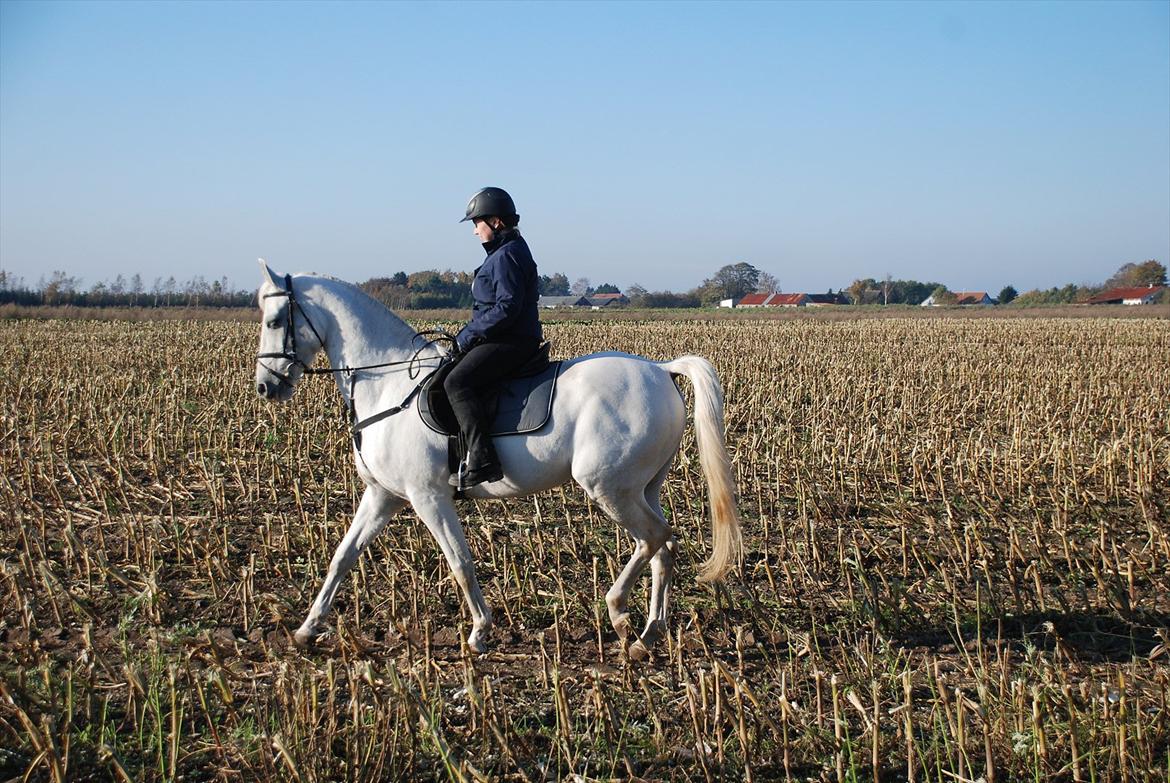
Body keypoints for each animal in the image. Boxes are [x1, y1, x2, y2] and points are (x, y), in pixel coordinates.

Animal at [253, 262, 739, 655]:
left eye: (275, 320)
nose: (265, 386)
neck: (389, 384)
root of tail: (660, 369)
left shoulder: (428, 497)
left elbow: (459, 562)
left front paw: (479, 633)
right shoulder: (382, 496)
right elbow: (343, 556)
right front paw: (306, 629)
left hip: (609, 488)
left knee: (652, 539)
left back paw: (619, 613)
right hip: (642, 488)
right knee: (664, 548)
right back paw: (648, 635)